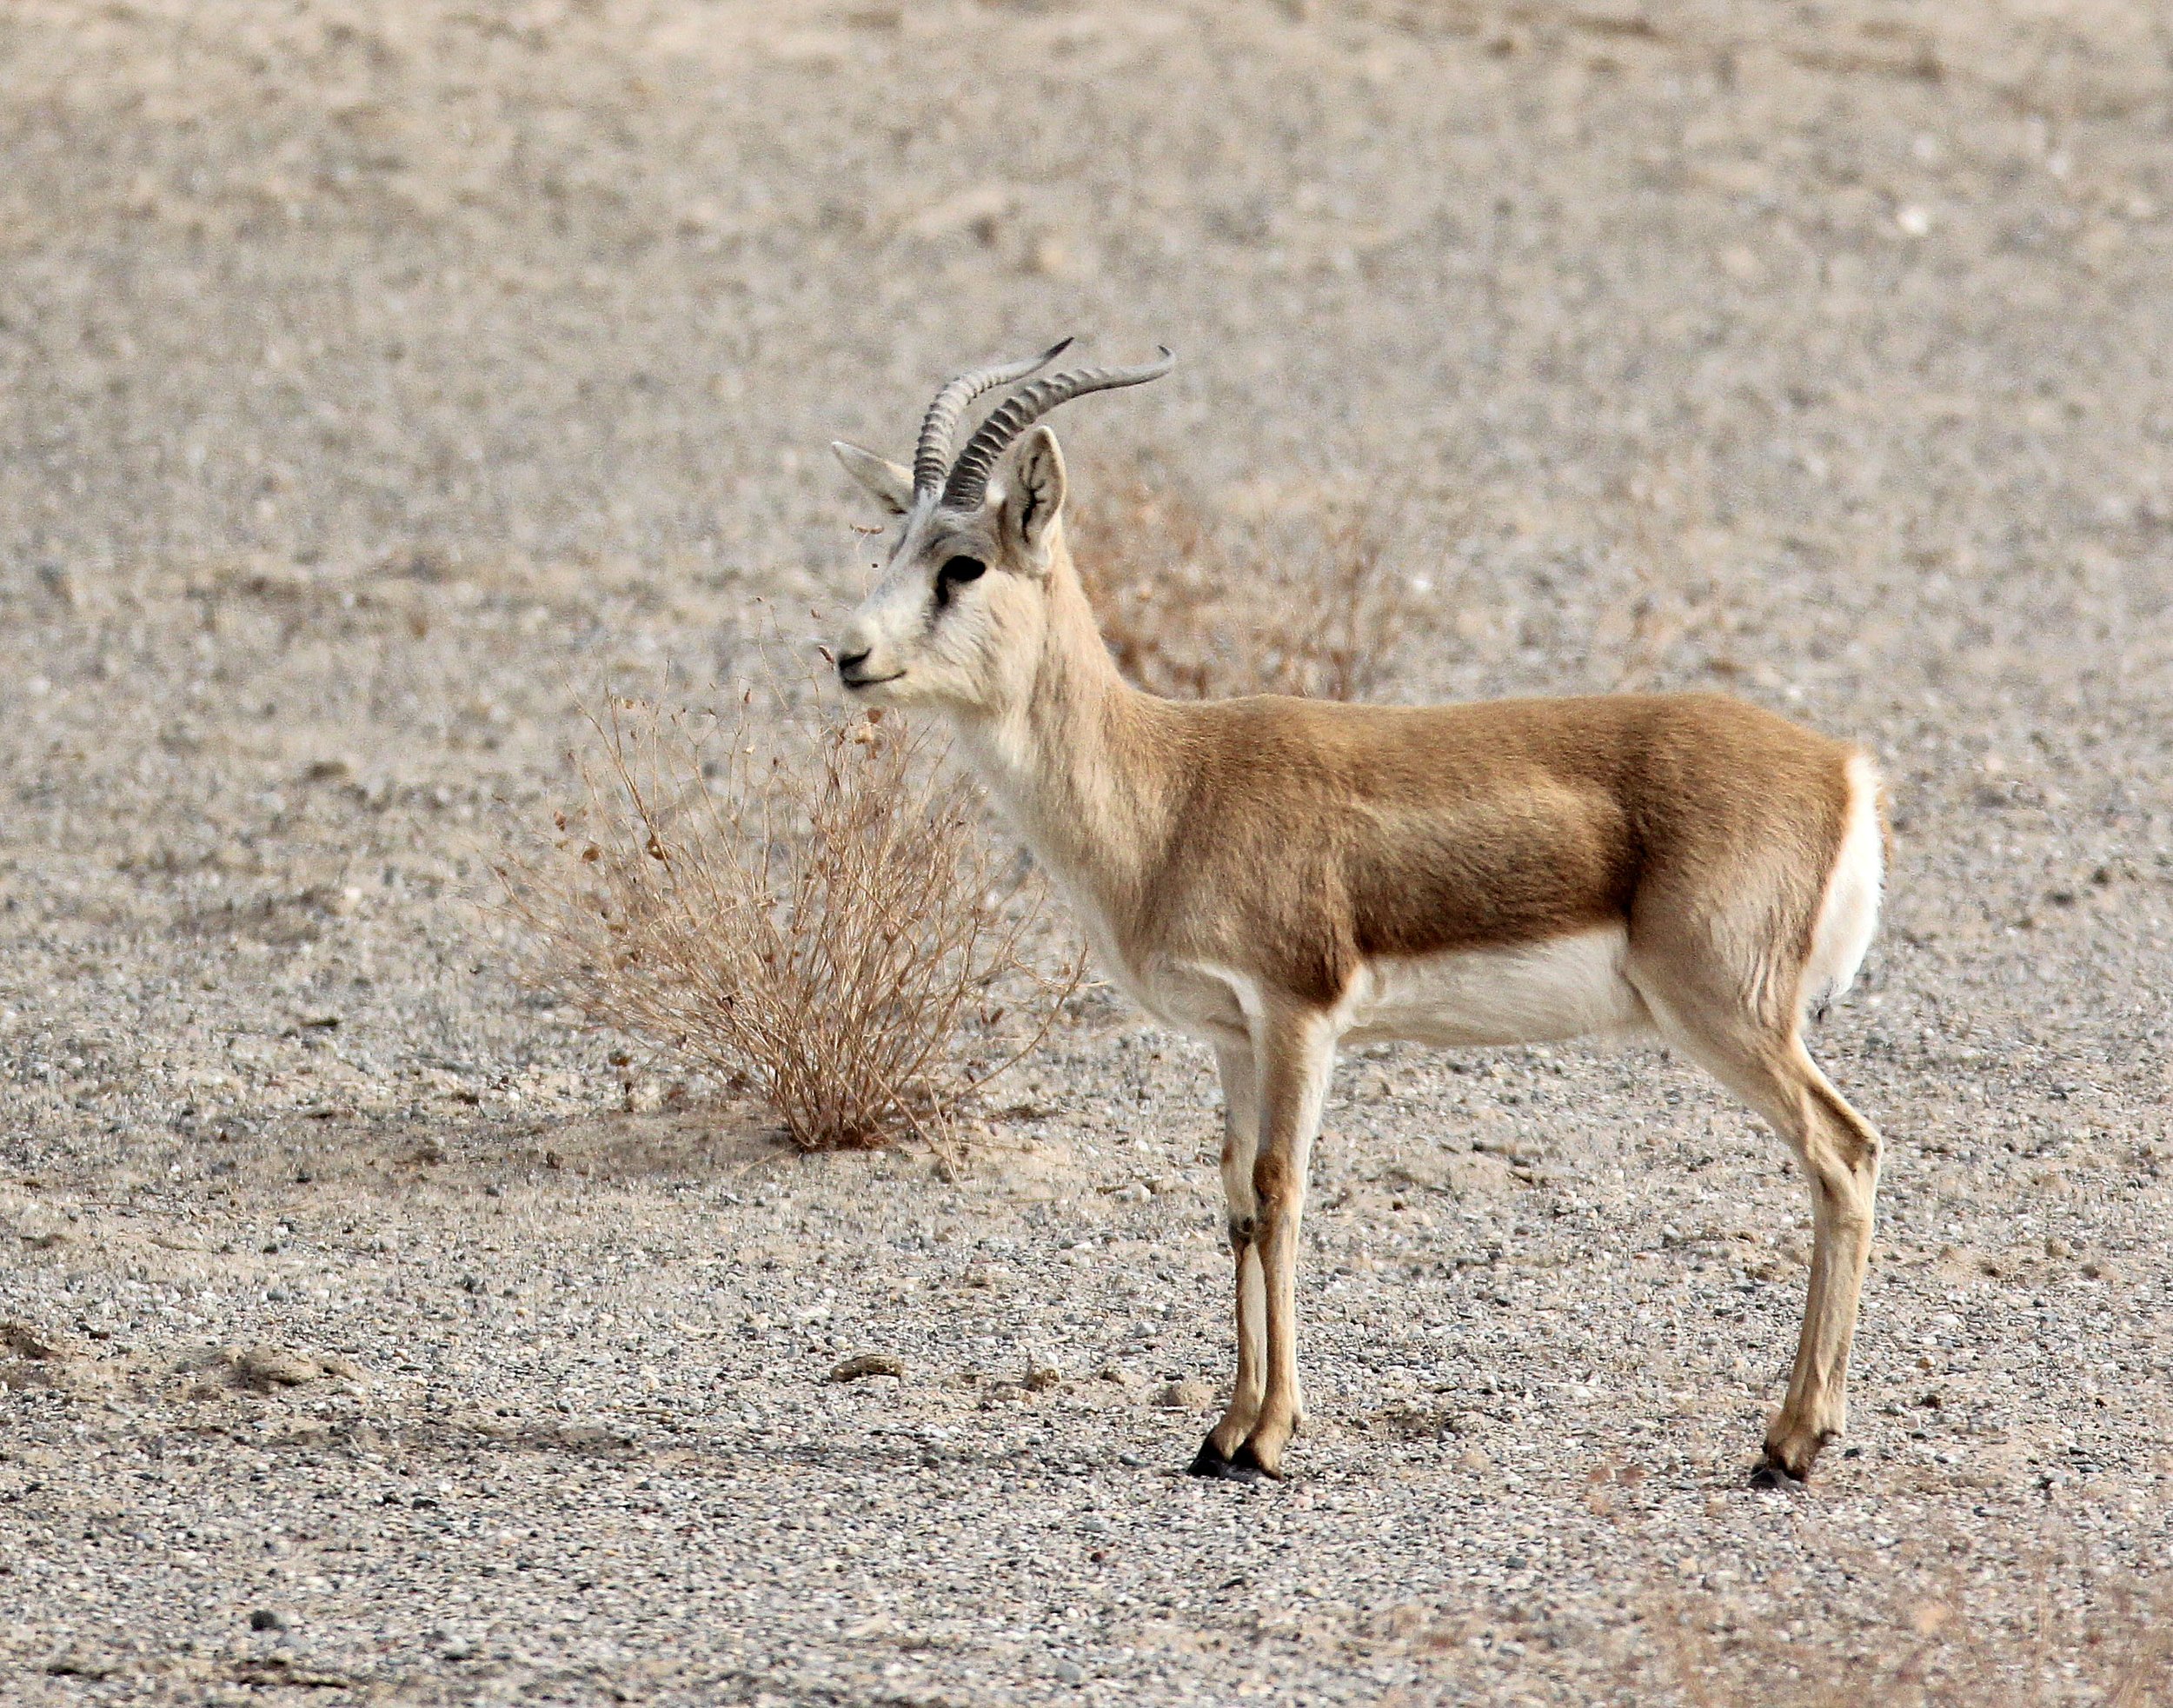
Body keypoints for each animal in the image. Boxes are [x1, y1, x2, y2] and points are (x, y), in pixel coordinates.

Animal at [830, 343, 1886, 1488]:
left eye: (965, 564)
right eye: (892, 543)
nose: (848, 655)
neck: (1173, 790)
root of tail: (1842, 770)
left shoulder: (1300, 1015)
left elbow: (1283, 1191)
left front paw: (1269, 1437)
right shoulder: (1232, 1035)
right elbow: (1237, 1203)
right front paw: (1220, 1432)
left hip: (1726, 1013)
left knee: (1843, 1154)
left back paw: (1791, 1442)